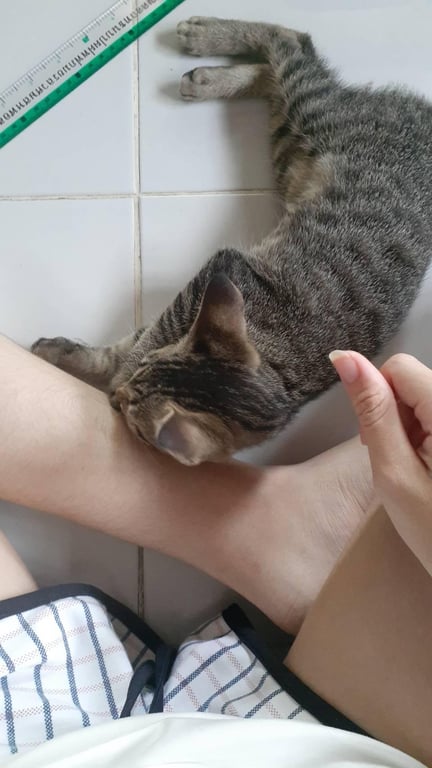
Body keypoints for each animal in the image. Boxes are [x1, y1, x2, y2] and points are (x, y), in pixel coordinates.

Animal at [32, 16, 432, 466]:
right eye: (150, 365)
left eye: (133, 418)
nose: (118, 398)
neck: (278, 369)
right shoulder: (217, 274)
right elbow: (142, 337)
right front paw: (93, 361)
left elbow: (136, 339)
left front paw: (91, 366)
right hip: (304, 125)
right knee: (291, 43)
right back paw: (205, 42)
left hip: (292, 145)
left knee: (287, 58)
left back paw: (208, 73)